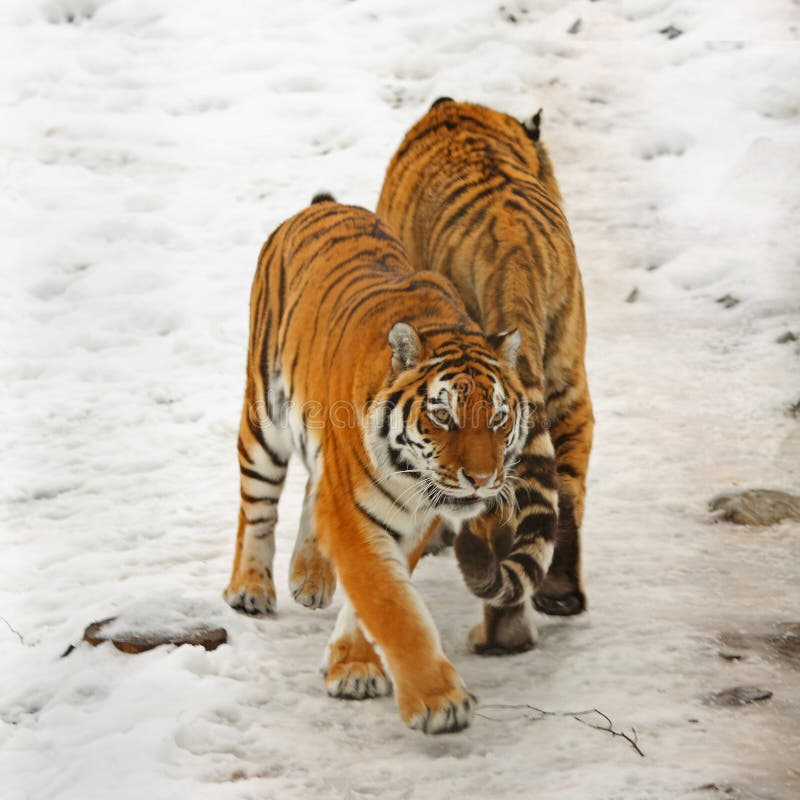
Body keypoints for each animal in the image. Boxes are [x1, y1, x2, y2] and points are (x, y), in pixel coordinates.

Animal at [223, 197, 532, 736]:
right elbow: (391, 605)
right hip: (264, 417)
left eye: (498, 418)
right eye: (443, 416)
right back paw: (250, 589)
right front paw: (439, 701)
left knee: (310, 495)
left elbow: (376, 596)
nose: (481, 480)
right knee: (257, 506)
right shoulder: (355, 512)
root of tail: (324, 206)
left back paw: (310, 578)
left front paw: (353, 662)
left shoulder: (412, 518)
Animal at [376, 97, 592, 652]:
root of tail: (516, 246)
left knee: (497, 507)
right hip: (567, 376)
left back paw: (502, 634)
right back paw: (560, 595)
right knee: (562, 487)